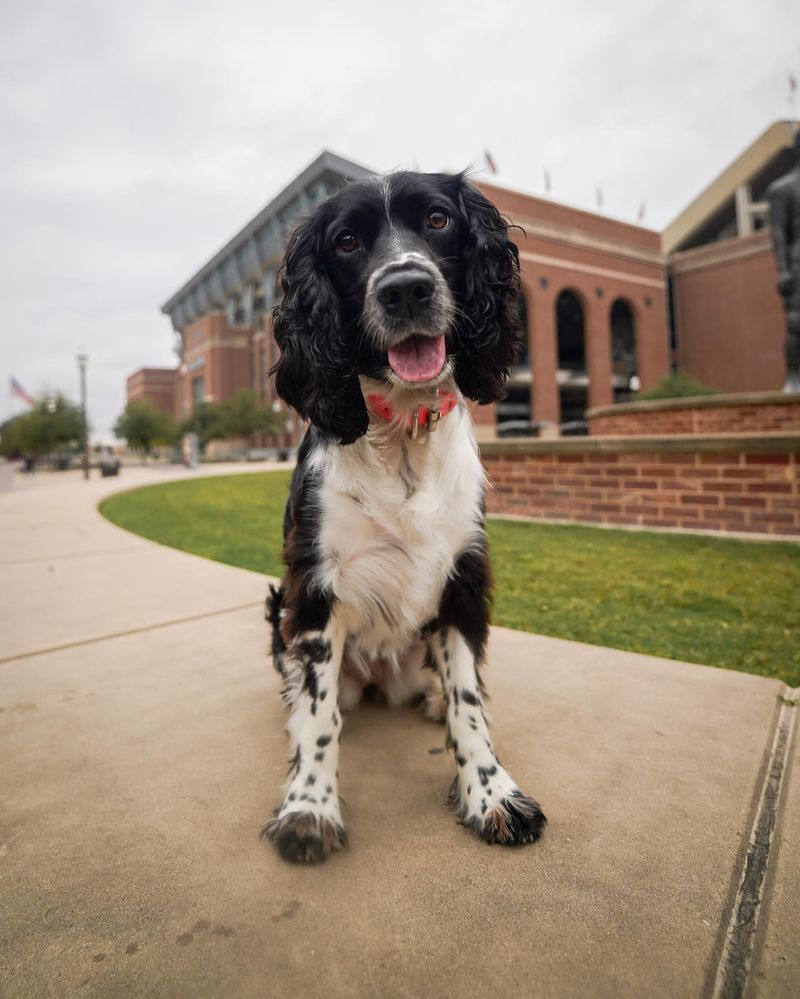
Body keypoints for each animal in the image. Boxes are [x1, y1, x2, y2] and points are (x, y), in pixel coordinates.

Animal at [260, 168, 544, 864]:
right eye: (346, 240)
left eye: (438, 219)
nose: (406, 287)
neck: (403, 431)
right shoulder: (314, 588)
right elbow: (318, 716)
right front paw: (309, 807)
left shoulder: (465, 576)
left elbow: (470, 703)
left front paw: (493, 794)